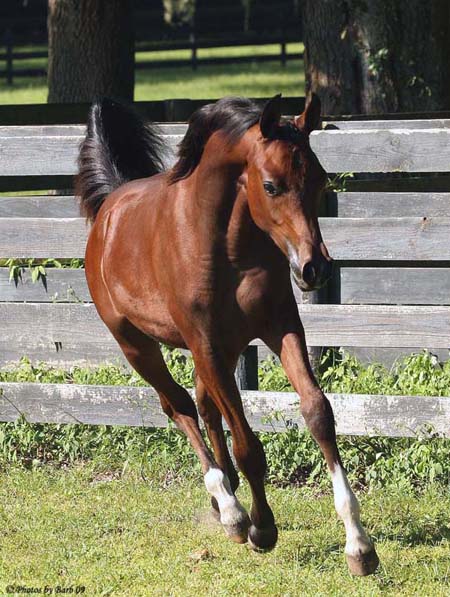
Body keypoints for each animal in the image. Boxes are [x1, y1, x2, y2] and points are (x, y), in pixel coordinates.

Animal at [78, 94, 380, 576]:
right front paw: (261, 528)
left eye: (319, 179)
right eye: (272, 185)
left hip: (220, 349)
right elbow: (248, 445)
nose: (314, 268)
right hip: (139, 346)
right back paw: (230, 508)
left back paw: (226, 501)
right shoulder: (206, 343)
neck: (226, 245)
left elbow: (317, 413)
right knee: (179, 406)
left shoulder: (279, 328)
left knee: (204, 406)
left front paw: (359, 544)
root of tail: (109, 209)